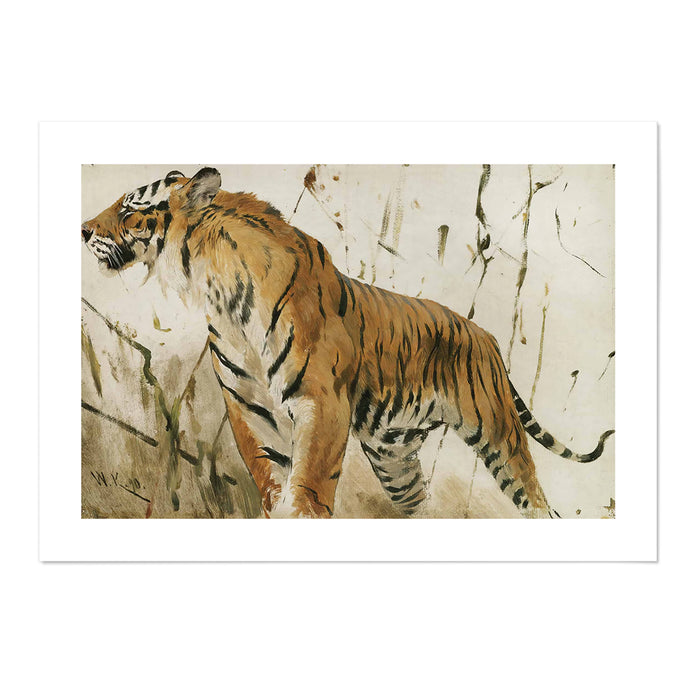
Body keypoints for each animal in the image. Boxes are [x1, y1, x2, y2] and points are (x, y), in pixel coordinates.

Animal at [82, 166, 614, 518]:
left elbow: (308, 487)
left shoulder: (322, 404)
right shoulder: (248, 407)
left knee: (538, 503)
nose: (83, 229)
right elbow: (272, 480)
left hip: (498, 433)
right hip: (394, 455)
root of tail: (485, 337)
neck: (220, 295)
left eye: (129, 209)